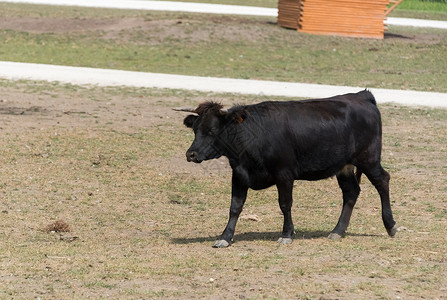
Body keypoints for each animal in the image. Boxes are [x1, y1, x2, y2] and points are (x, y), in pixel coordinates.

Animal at [178, 90, 400, 247]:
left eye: (212, 130)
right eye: (195, 129)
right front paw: (225, 237)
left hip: (369, 159)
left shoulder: (284, 174)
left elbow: (285, 204)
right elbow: (235, 206)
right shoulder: (239, 175)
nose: (191, 154)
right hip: (344, 166)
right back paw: (337, 231)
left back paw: (391, 226)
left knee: (383, 181)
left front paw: (286, 234)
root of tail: (362, 96)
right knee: (351, 192)